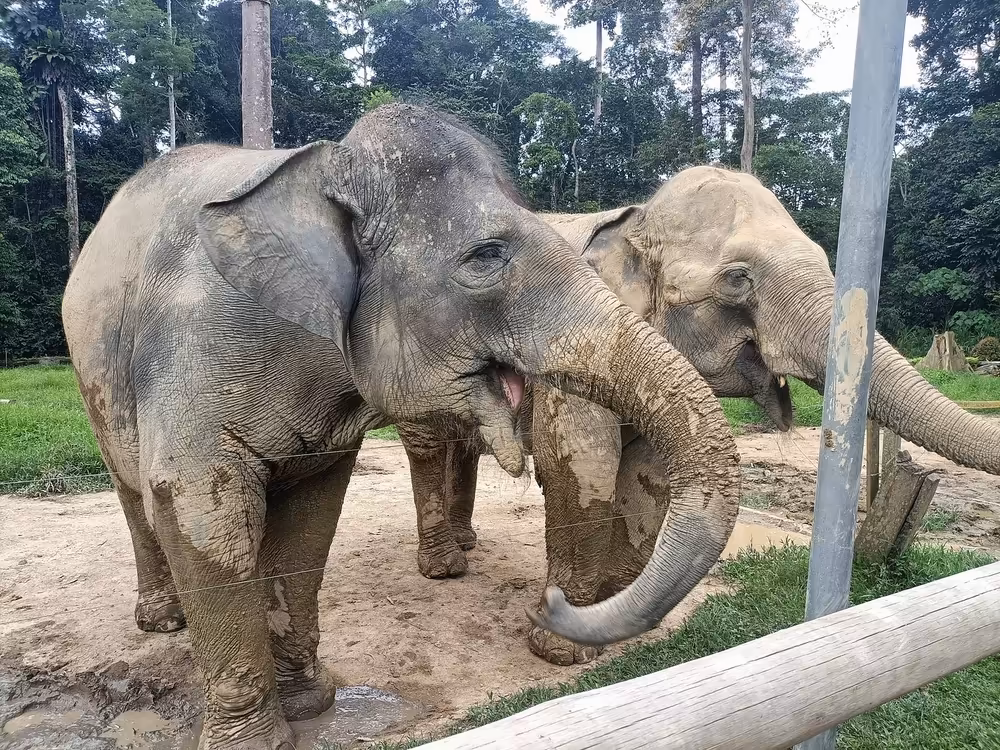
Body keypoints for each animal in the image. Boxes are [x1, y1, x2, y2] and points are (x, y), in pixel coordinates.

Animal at [61, 104, 742, 749]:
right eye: (486, 256)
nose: (549, 604)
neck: (331, 167)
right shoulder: (196, 348)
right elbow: (198, 504)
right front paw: (256, 742)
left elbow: (310, 521)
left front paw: (311, 706)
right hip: (92, 378)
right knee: (134, 493)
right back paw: (164, 621)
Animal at [398, 164, 1000, 665]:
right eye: (738, 278)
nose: (545, 606)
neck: (637, 218)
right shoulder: (570, 343)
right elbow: (585, 467)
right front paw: (560, 651)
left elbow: (647, 470)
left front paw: (612, 616)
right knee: (426, 442)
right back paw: (446, 567)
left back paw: (467, 545)